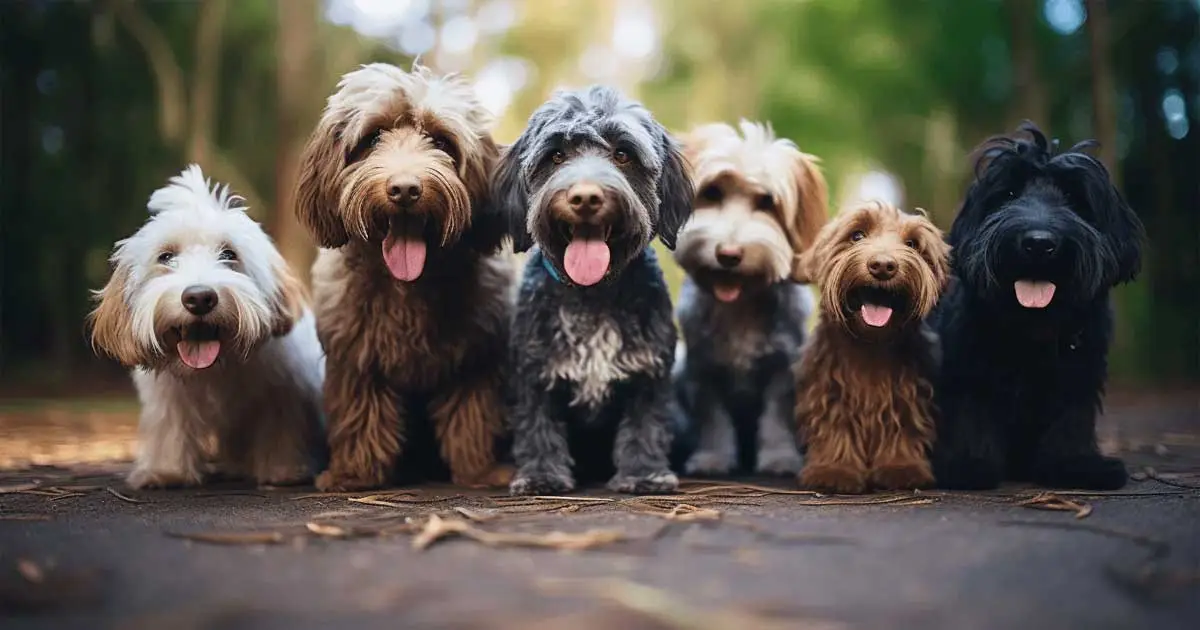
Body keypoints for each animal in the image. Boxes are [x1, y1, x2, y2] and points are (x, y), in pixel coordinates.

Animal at [88, 164, 326, 489]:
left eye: (229, 254)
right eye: (166, 256)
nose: (199, 297)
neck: (216, 367)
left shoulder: (281, 391)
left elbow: (279, 427)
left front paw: (282, 469)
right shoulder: (168, 398)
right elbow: (170, 427)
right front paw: (168, 471)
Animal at [297, 61, 513, 489]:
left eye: (441, 141)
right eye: (373, 137)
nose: (405, 189)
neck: (408, 286)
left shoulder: (476, 355)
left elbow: (473, 415)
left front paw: (479, 470)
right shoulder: (355, 355)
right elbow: (361, 413)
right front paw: (355, 473)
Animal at [489, 85, 696, 494]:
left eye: (623, 153)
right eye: (556, 154)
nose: (585, 197)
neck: (594, 293)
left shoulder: (648, 374)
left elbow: (644, 426)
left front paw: (644, 474)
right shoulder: (534, 374)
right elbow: (538, 426)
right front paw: (541, 475)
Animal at [792, 199, 950, 494]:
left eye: (912, 243)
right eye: (857, 235)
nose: (883, 265)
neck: (870, 346)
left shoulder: (907, 394)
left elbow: (903, 425)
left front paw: (901, 467)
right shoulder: (830, 392)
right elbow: (835, 426)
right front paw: (835, 469)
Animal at [926, 120, 1142, 489]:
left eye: (1072, 198)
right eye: (1010, 194)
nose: (1038, 243)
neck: (1031, 326)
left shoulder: (1078, 372)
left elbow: (1071, 419)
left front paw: (1075, 464)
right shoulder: (968, 371)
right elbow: (970, 412)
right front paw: (967, 463)